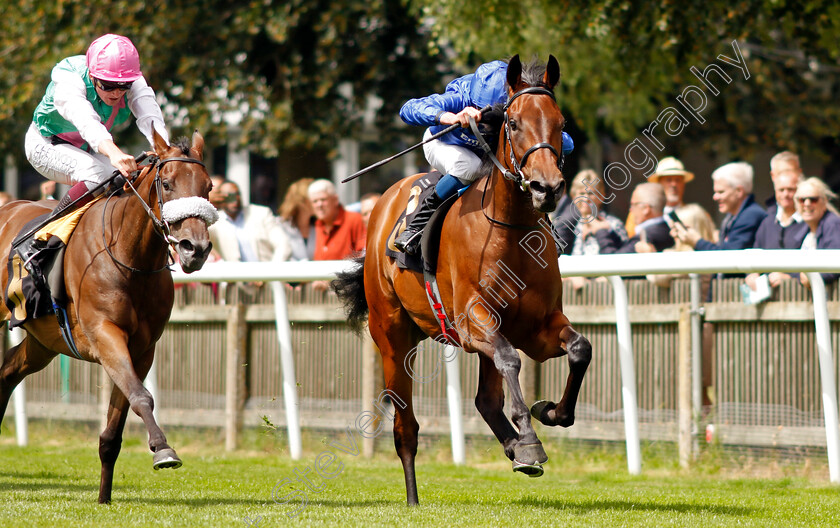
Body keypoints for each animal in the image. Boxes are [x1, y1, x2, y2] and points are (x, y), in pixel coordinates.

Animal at [0, 130, 218, 506]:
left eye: (209, 186)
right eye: (167, 183)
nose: (196, 248)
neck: (130, 257)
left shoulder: (142, 349)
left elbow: (115, 428)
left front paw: (104, 498)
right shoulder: (105, 335)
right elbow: (142, 397)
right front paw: (163, 450)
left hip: (44, 342)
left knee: (7, 371)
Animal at [332, 55, 592, 506]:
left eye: (560, 123)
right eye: (514, 123)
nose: (547, 187)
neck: (511, 229)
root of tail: (383, 203)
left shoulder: (539, 327)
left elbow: (579, 349)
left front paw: (547, 414)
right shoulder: (474, 323)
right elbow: (510, 358)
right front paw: (530, 441)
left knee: (486, 399)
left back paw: (512, 445)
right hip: (391, 336)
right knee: (406, 427)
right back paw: (414, 497)